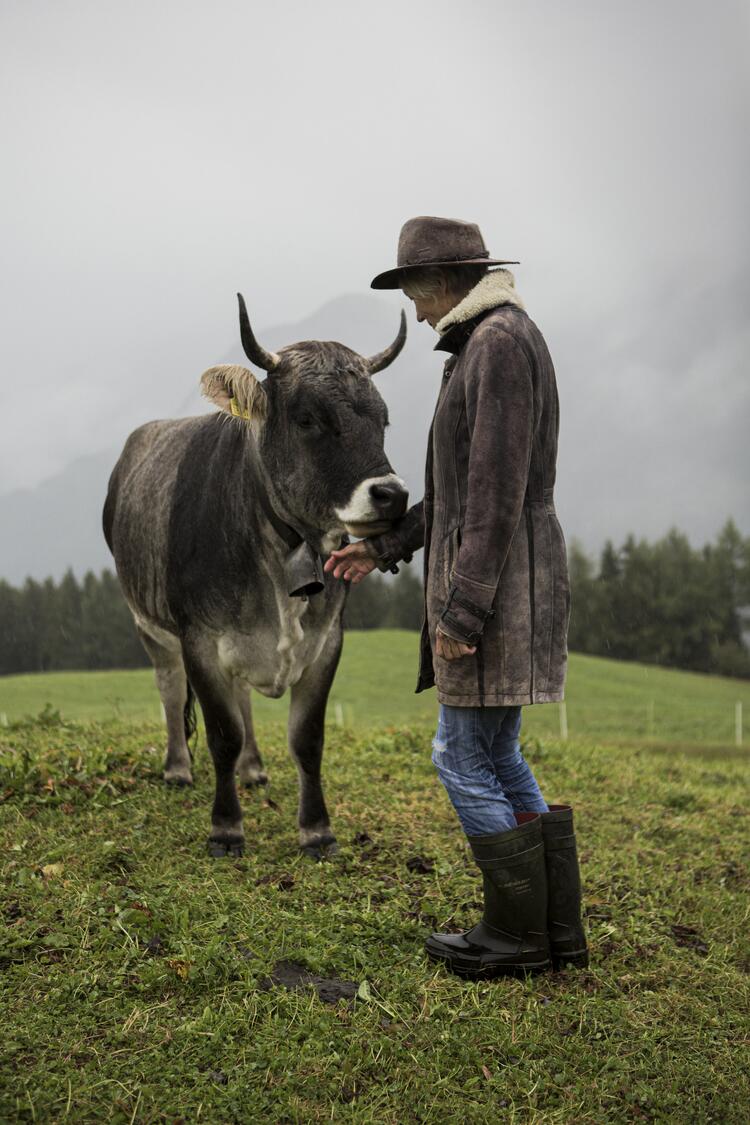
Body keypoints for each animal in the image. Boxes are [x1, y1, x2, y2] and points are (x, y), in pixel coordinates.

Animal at [102, 294, 407, 855]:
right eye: (308, 419)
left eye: (382, 421)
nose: (392, 496)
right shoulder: (200, 639)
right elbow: (221, 735)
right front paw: (226, 827)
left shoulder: (327, 641)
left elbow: (307, 739)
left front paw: (317, 830)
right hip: (148, 624)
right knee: (170, 687)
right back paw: (177, 768)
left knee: (242, 695)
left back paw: (253, 768)